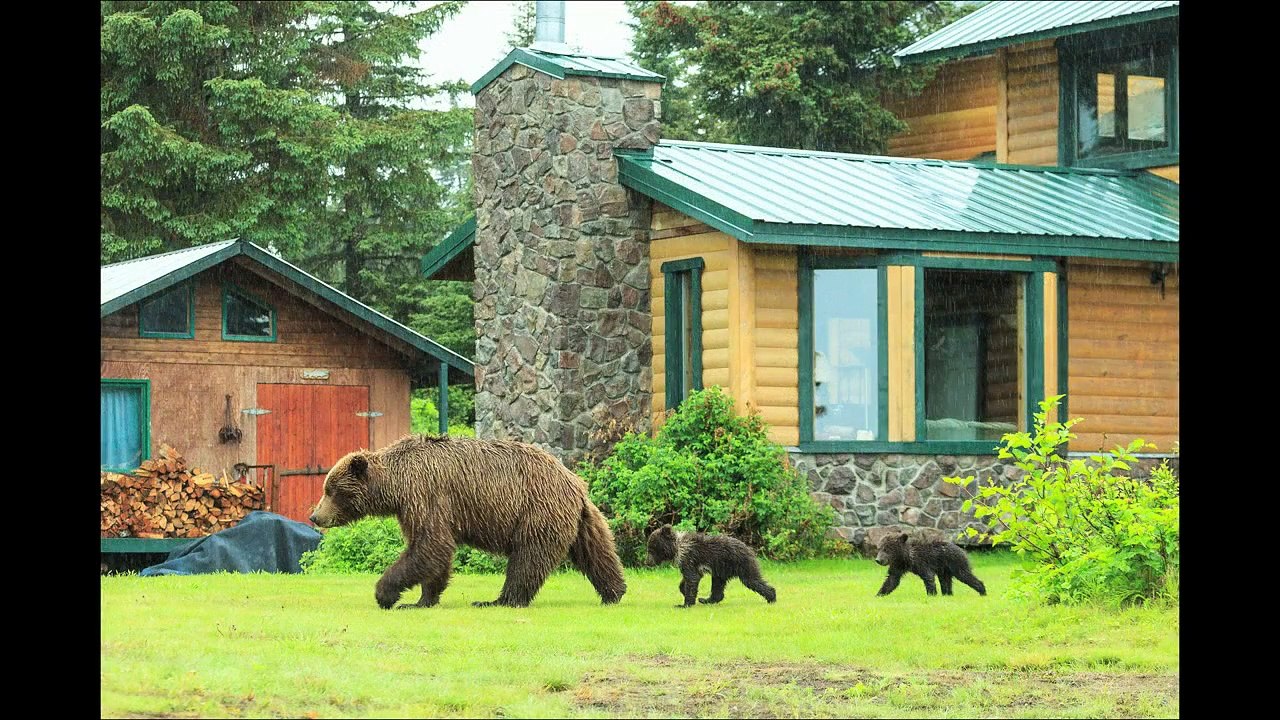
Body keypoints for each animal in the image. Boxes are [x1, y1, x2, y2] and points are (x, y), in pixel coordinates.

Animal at [310, 435, 627, 609]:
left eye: (330, 490)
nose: (315, 515)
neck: (395, 484)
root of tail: (574, 481)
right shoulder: (416, 506)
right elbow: (434, 552)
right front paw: (422, 599)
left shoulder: (425, 494)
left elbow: (430, 545)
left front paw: (385, 594)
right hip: (582, 520)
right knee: (597, 553)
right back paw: (614, 592)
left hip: (537, 512)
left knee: (527, 559)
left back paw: (498, 600)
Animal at [646, 524, 777, 607]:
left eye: (651, 549)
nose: (648, 562)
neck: (678, 547)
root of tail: (749, 548)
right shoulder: (687, 562)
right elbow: (688, 579)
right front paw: (685, 592)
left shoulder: (689, 558)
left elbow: (692, 578)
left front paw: (685, 604)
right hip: (722, 570)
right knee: (718, 586)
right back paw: (706, 599)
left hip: (741, 564)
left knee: (752, 580)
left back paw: (772, 597)